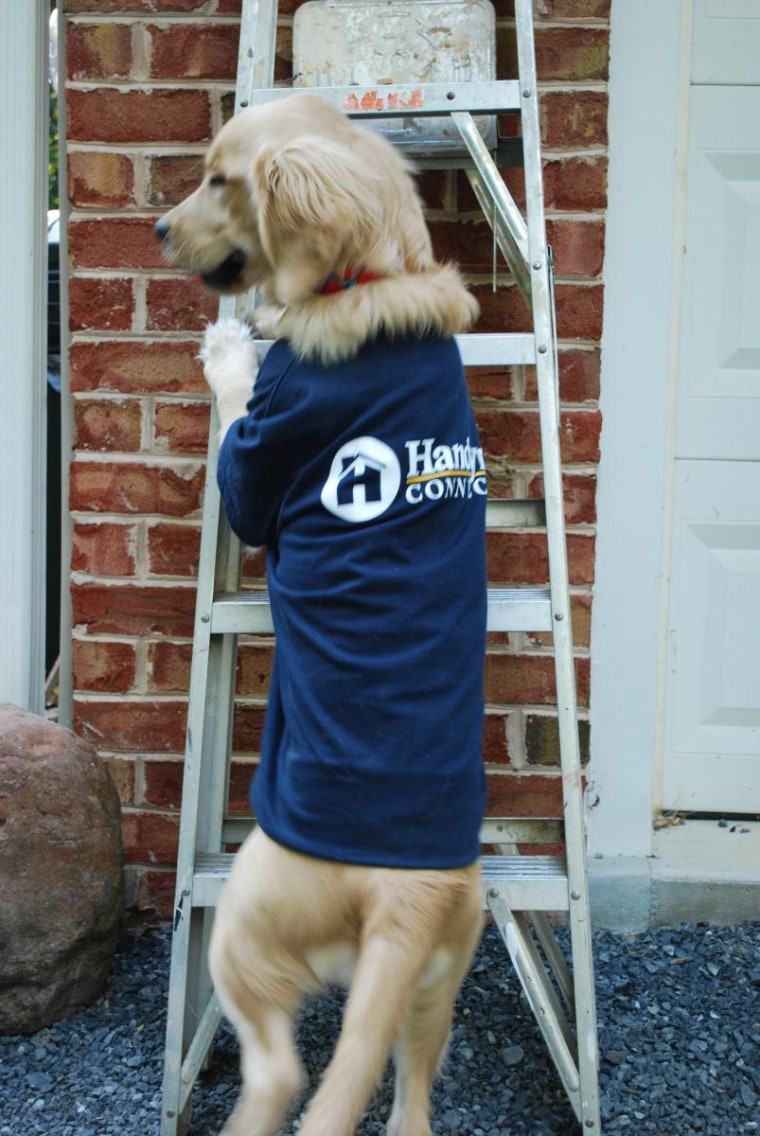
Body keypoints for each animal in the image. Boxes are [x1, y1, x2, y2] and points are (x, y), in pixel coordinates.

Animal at [155, 90, 486, 1136]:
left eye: (220, 180)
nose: (159, 228)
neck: (375, 277)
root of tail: (408, 892)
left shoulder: (266, 444)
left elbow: (241, 407)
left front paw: (234, 340)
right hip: (436, 984)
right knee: (409, 1098)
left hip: (243, 926)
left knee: (281, 1075)